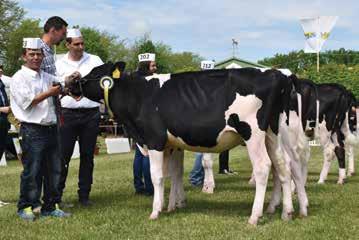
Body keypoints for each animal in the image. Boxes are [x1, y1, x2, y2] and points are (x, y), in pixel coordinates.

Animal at [69, 62, 300, 225]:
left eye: (95, 72)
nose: (71, 83)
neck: (138, 95)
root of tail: (277, 74)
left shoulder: (154, 139)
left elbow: (157, 176)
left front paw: (156, 211)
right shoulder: (172, 144)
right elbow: (175, 173)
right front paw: (174, 205)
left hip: (252, 132)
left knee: (263, 167)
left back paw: (255, 216)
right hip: (272, 133)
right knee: (282, 166)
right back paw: (285, 211)